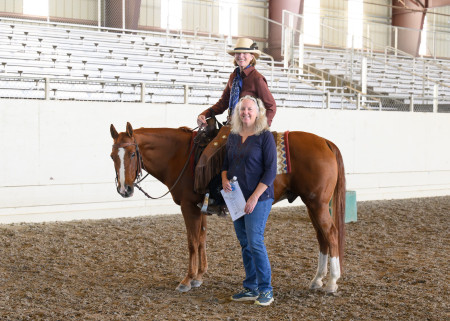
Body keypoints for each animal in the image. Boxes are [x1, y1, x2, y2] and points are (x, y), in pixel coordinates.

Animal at [110, 121, 346, 292]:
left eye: (132, 154)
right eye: (112, 156)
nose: (124, 190)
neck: (180, 155)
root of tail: (325, 142)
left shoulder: (188, 207)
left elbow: (192, 242)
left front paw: (187, 280)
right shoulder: (201, 207)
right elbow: (202, 239)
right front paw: (199, 276)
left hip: (318, 204)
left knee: (332, 234)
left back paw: (332, 282)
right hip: (312, 204)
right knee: (321, 237)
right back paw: (317, 280)